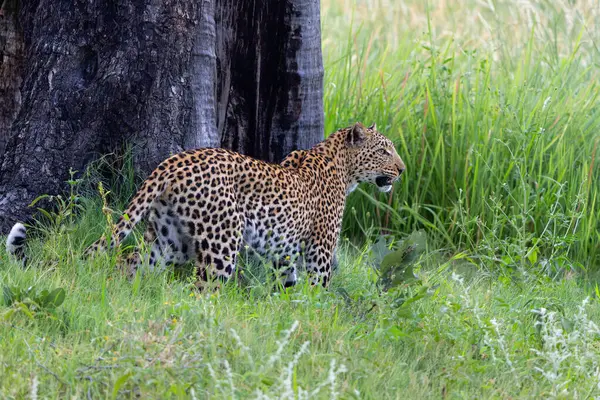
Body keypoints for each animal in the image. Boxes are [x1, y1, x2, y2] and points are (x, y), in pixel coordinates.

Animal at [7, 122, 406, 288]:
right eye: (385, 151)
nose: (402, 170)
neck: (343, 167)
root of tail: (171, 162)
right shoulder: (319, 250)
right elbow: (317, 291)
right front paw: (313, 323)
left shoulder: (284, 254)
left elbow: (288, 288)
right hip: (221, 242)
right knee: (203, 289)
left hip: (168, 240)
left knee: (130, 261)